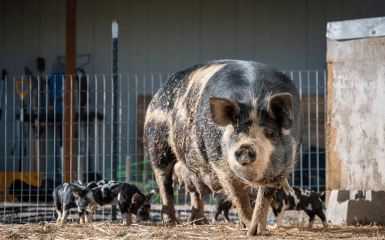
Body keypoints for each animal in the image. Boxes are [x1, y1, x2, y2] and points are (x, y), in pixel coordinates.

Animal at [144, 59, 304, 235]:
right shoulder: (220, 164)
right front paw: (248, 228)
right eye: (237, 130)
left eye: (270, 132)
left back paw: (199, 223)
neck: (254, 98)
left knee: (195, 190)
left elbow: (263, 198)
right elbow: (239, 197)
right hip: (156, 143)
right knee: (164, 183)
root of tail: (158, 93)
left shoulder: (282, 167)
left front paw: (258, 231)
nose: (245, 147)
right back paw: (171, 223)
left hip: (190, 165)